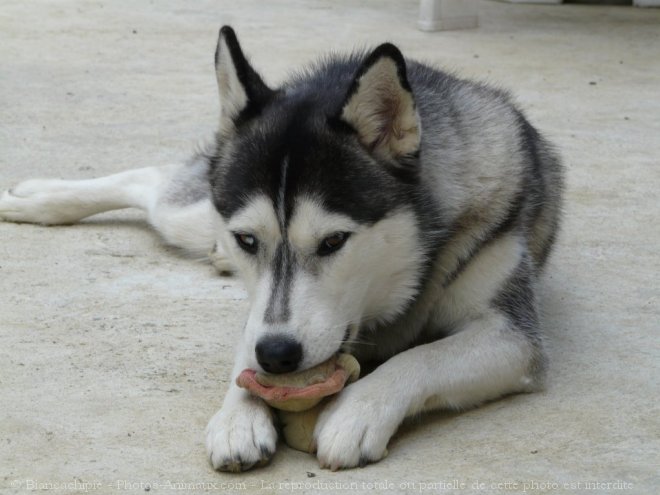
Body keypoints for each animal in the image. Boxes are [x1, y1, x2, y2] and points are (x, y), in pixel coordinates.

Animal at [1, 27, 564, 472]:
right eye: (249, 240)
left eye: (334, 241)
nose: (277, 356)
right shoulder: (261, 310)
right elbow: (246, 346)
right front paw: (238, 416)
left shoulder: (513, 338)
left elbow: (422, 357)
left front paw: (358, 411)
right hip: (190, 215)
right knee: (153, 180)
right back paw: (33, 198)